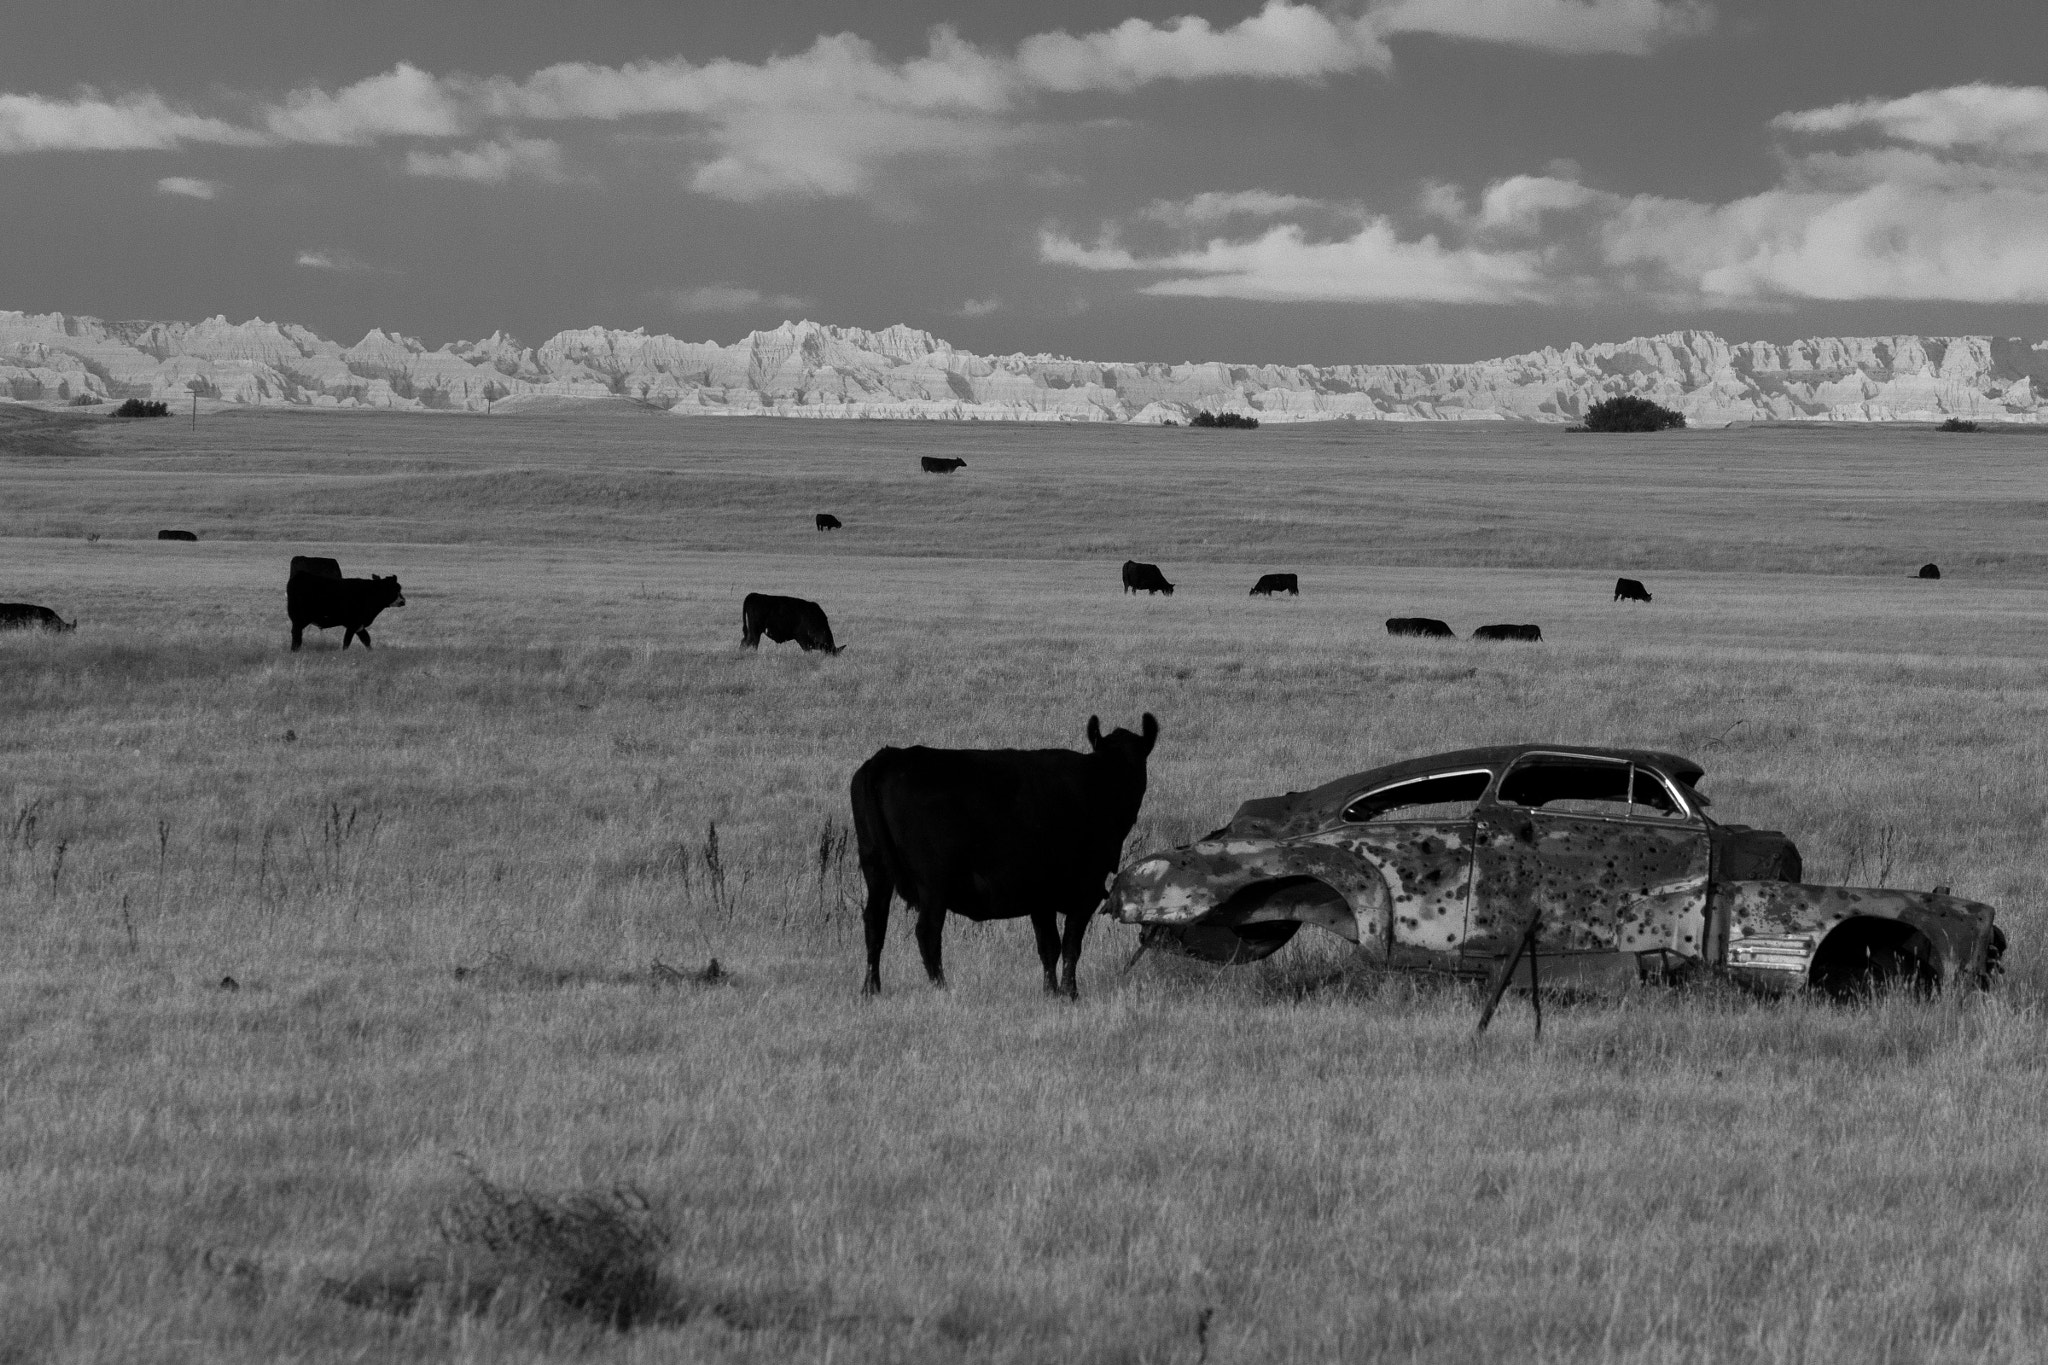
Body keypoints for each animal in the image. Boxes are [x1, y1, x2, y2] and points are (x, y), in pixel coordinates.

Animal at [851, 712, 1163, 998]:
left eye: (1138, 761)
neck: (1103, 779)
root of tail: (889, 756)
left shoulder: (1041, 896)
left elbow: (1048, 947)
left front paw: (1050, 992)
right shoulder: (1084, 890)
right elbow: (1071, 946)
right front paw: (1069, 993)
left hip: (875, 868)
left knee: (874, 923)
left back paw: (871, 988)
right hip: (933, 881)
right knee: (927, 932)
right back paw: (941, 988)